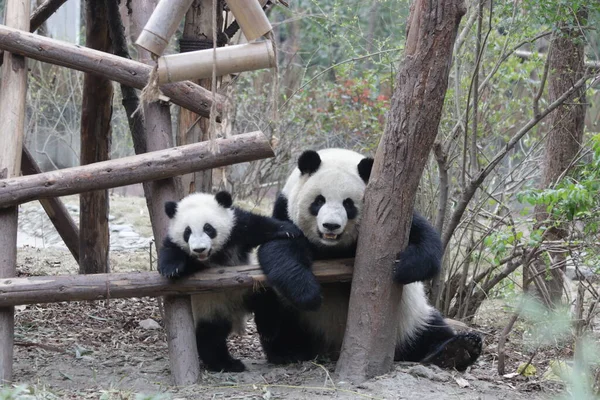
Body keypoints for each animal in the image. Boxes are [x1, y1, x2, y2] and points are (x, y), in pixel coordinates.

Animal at [158, 191, 300, 372]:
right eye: (187, 232)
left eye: (208, 228)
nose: (199, 249)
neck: (214, 254)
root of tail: (237, 312)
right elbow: (171, 250)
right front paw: (171, 268)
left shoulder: (237, 230)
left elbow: (258, 226)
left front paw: (289, 230)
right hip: (211, 308)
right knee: (210, 337)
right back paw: (228, 363)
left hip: (247, 290)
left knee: (266, 302)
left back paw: (273, 339)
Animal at [253, 149, 482, 372]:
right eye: (319, 201)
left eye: (348, 204)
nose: (331, 226)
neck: (331, 249)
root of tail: (332, 348)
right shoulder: (284, 212)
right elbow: (279, 247)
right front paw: (309, 293)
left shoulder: (390, 216)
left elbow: (426, 240)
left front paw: (405, 267)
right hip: (298, 318)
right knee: (272, 311)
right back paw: (288, 351)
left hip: (412, 318)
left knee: (430, 330)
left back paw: (457, 349)